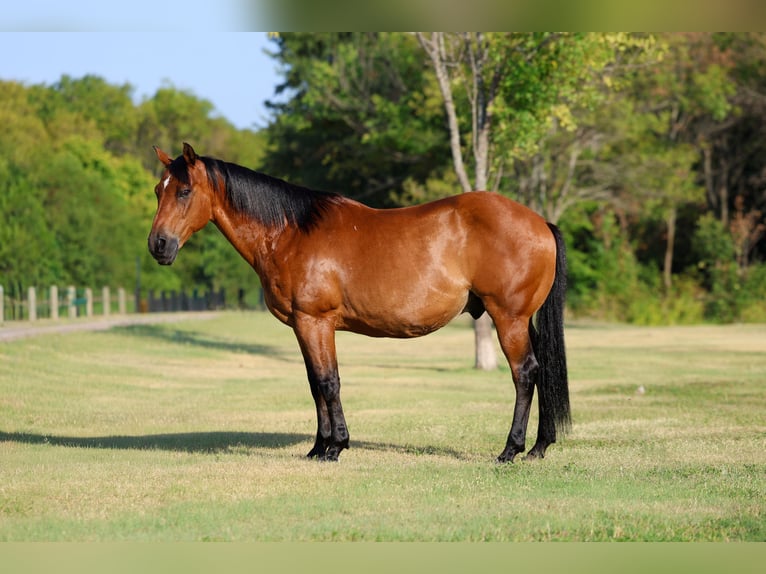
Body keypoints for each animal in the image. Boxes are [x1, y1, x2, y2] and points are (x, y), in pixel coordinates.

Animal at [148, 143, 570, 463]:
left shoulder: (315, 321)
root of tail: (540, 222)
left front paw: (335, 447)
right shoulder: (303, 326)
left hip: (508, 317)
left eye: (184, 191)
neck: (290, 233)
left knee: (525, 373)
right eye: (157, 190)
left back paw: (511, 450)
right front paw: (318, 447)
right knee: (543, 369)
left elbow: (328, 381)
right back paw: (539, 447)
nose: (158, 245)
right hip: (523, 320)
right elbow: (314, 383)